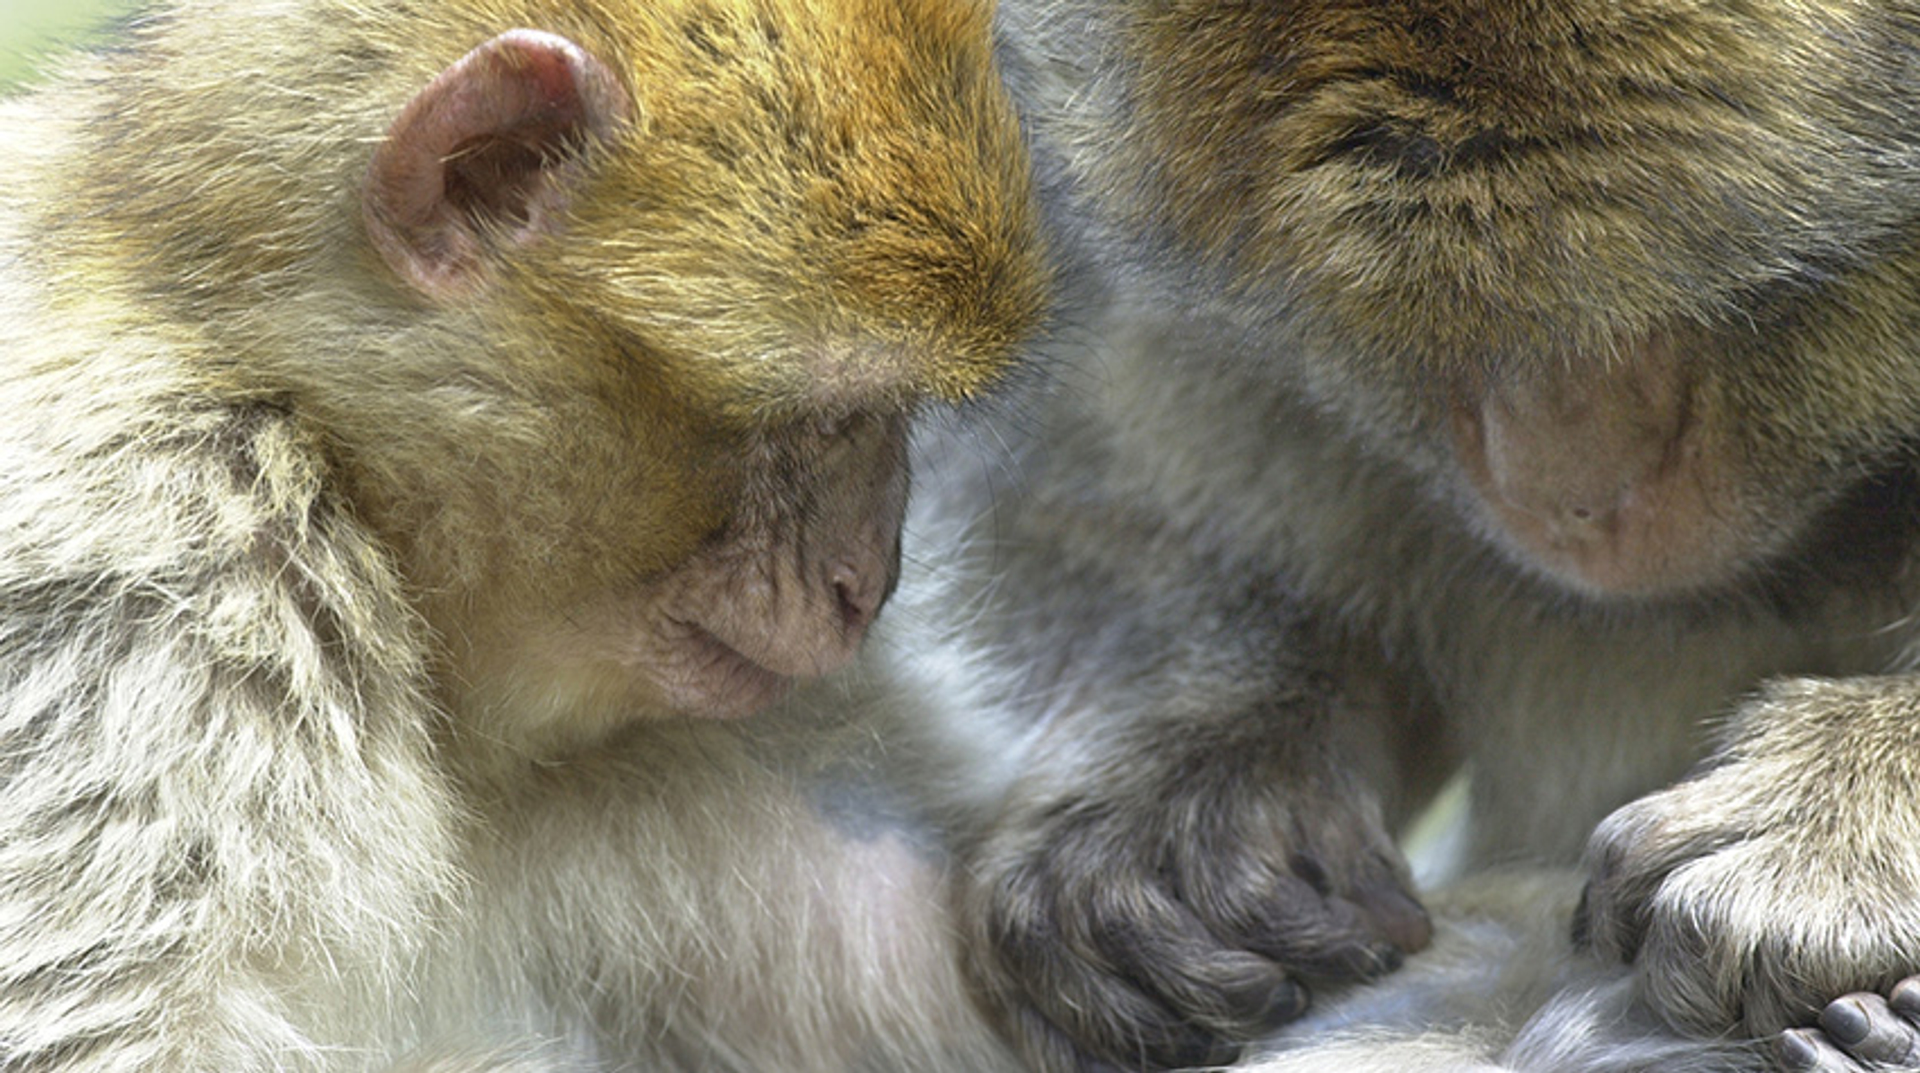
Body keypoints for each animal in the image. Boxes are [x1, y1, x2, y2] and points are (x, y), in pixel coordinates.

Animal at [848, 0, 1920, 1067]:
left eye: (1745, 304)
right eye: (1433, 331)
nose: (1564, 491)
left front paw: (1830, 826)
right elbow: (1091, 477)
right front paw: (1196, 770)